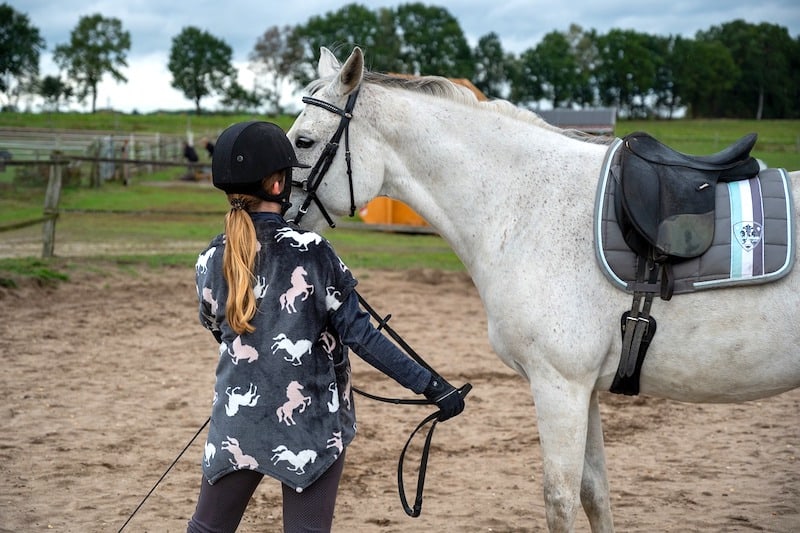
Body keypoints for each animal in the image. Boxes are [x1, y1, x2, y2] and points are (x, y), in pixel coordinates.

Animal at [284, 46, 799, 532]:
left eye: (304, 141)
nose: (270, 209)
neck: (526, 206)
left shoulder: (560, 386)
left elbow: (561, 500)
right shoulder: (585, 389)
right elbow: (595, 493)